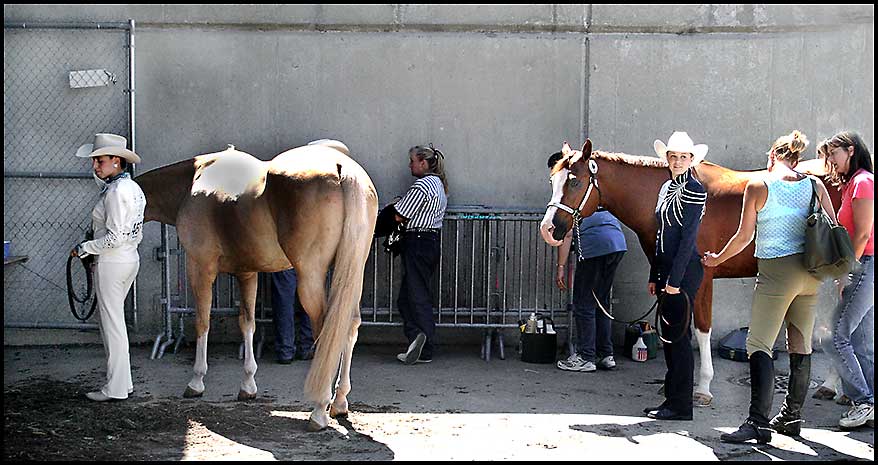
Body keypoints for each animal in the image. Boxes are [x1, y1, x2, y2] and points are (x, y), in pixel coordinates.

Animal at [137, 140, 378, 430]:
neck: (193, 182)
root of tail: (341, 166)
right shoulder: (247, 273)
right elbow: (248, 323)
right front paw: (248, 386)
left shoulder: (200, 268)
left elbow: (203, 322)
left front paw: (196, 382)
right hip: (353, 272)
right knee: (349, 325)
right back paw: (339, 402)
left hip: (311, 277)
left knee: (327, 329)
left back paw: (320, 409)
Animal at [540, 140, 844, 404]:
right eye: (553, 181)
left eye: (575, 181)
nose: (548, 229)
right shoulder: (665, 279)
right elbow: (676, 326)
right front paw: (671, 384)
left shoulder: (703, 279)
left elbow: (702, 329)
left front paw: (703, 388)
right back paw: (832, 387)